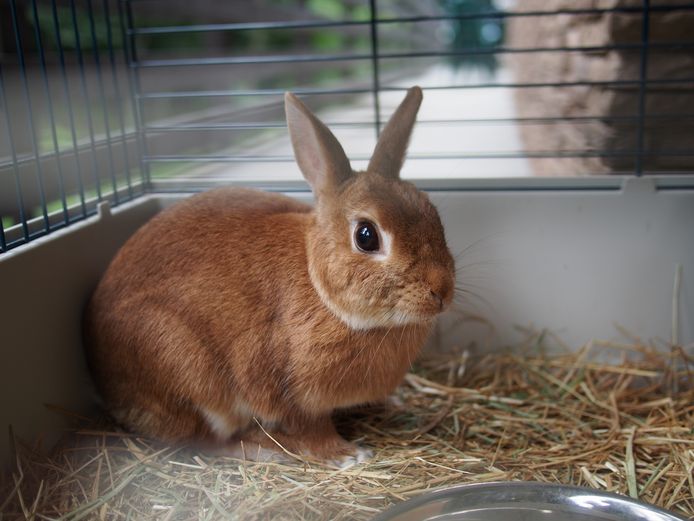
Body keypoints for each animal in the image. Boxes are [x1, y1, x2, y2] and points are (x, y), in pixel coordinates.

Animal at [83, 85, 456, 464]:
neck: (322, 292)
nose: (441, 291)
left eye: (435, 216)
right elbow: (311, 427)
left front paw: (394, 401)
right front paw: (344, 455)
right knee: (203, 440)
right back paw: (263, 449)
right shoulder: (284, 389)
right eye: (366, 236)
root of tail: (103, 381)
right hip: (183, 365)